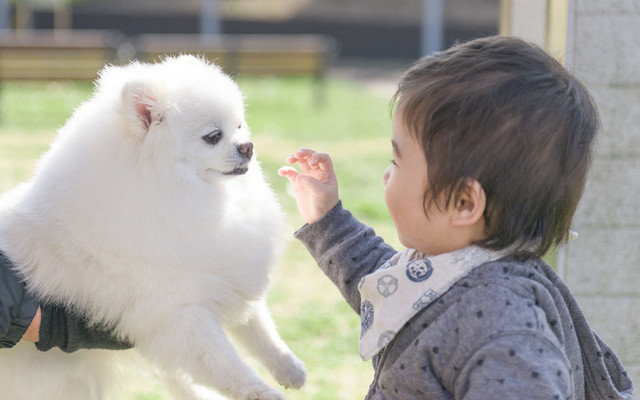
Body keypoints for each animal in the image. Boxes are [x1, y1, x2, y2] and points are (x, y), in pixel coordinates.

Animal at [0, 54, 308, 398]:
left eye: (239, 126)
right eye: (213, 136)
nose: (248, 146)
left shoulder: (226, 272)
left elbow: (259, 328)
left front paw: (289, 367)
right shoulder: (179, 314)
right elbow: (224, 362)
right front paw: (263, 392)